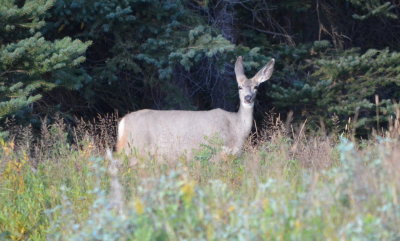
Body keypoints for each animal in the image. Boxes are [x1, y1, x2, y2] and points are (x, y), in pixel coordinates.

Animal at [115, 56, 276, 160]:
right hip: (136, 148)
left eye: (256, 87)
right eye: (239, 87)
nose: (248, 98)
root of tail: (123, 122)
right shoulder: (214, 151)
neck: (236, 129)